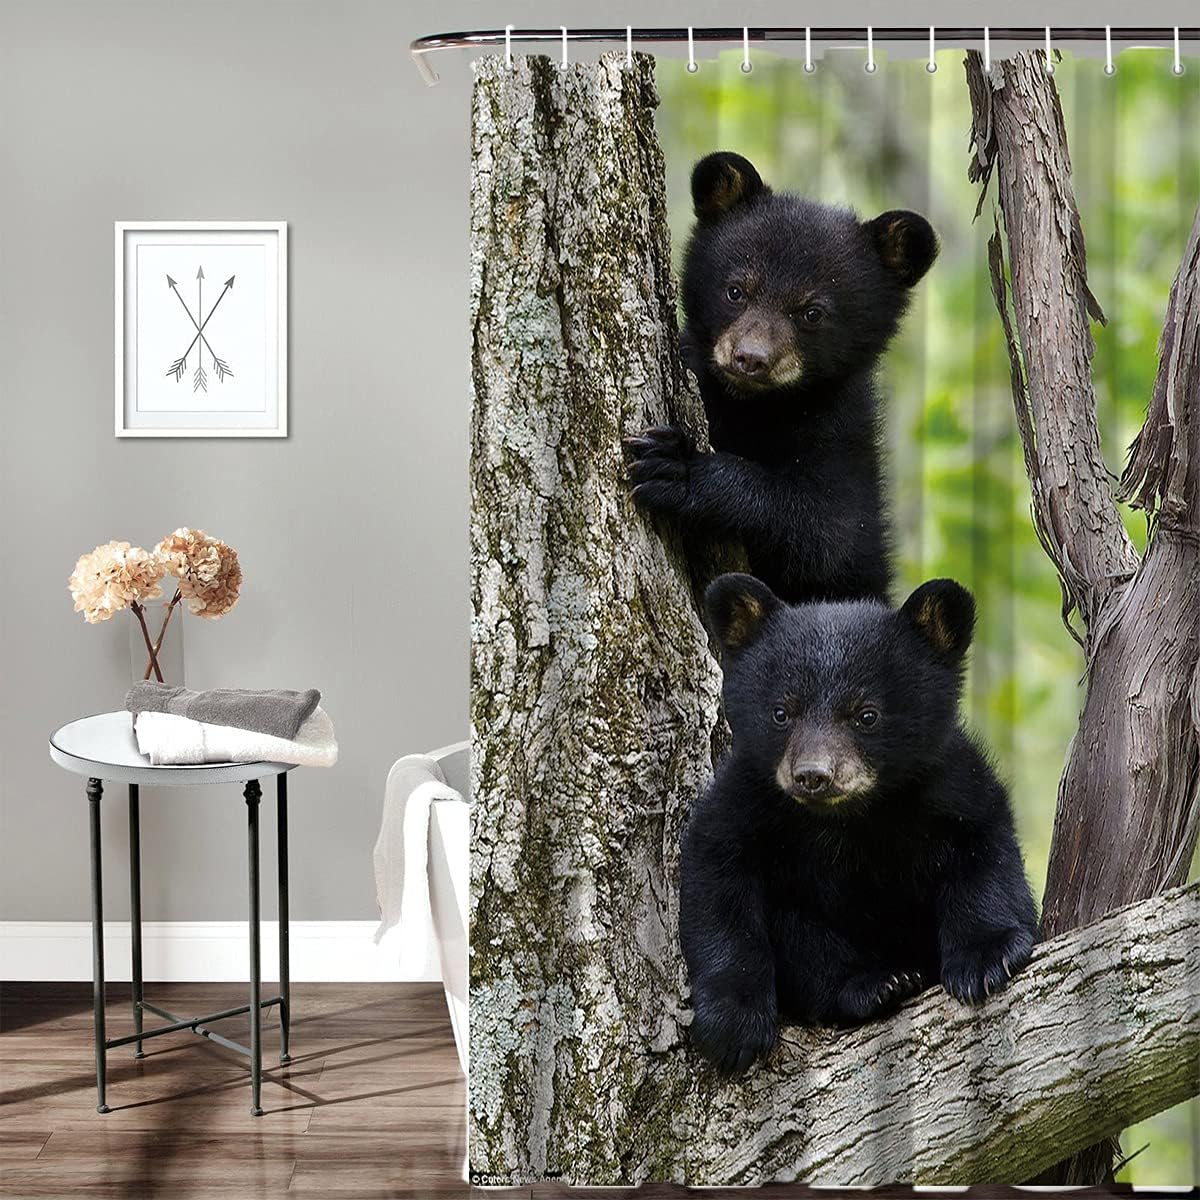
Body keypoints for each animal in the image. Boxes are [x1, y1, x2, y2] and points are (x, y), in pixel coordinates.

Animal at [626, 151, 939, 605]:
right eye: (736, 290)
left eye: (812, 313)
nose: (750, 359)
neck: (753, 407)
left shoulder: (843, 437)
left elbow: (825, 533)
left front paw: (678, 468)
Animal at [679, 572, 1038, 1076]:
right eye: (781, 712)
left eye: (867, 714)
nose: (813, 775)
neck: (849, 819)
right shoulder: (749, 801)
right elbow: (716, 878)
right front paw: (733, 1025)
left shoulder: (952, 786)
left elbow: (985, 853)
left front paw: (987, 958)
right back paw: (876, 983)